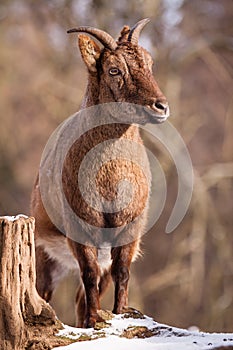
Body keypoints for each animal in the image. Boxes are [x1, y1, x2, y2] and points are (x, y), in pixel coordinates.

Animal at [31, 19, 169, 326]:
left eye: (150, 63)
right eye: (114, 69)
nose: (161, 106)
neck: (109, 184)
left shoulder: (130, 229)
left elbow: (122, 272)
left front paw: (120, 313)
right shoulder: (80, 230)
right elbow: (89, 273)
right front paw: (94, 322)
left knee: (80, 297)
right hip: (44, 254)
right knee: (44, 293)